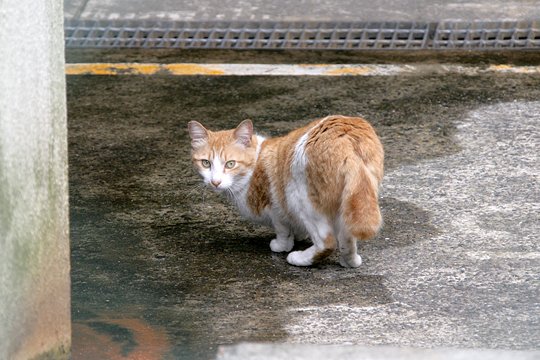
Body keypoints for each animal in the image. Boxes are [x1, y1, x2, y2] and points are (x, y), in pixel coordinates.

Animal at [190, 115, 384, 268]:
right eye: (206, 163)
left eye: (230, 164)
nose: (215, 182)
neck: (254, 164)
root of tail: (345, 138)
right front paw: (298, 236)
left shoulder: (275, 206)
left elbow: (282, 229)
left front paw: (282, 245)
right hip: (350, 203)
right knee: (347, 237)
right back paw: (350, 261)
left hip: (299, 197)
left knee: (326, 242)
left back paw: (299, 258)